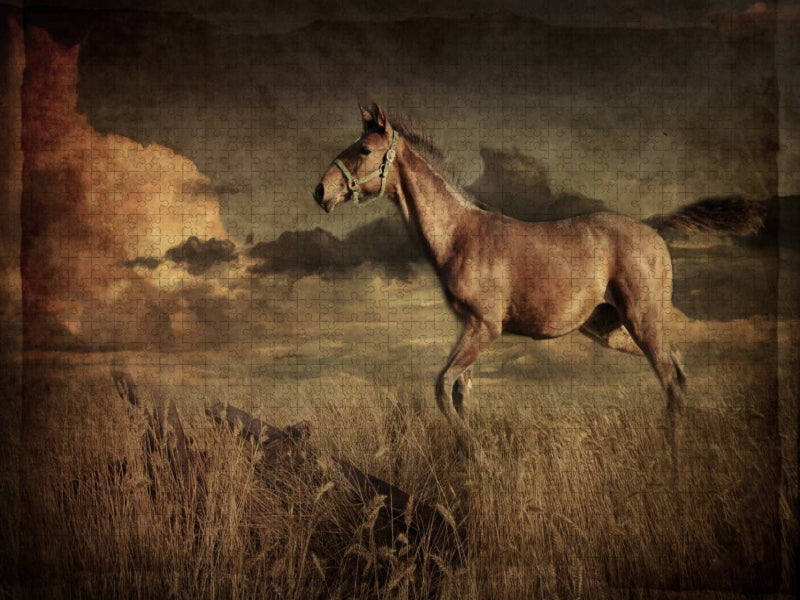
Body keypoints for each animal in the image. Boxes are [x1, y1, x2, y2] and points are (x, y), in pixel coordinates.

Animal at [314, 103, 689, 467]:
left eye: (364, 149)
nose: (320, 192)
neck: (459, 234)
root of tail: (655, 233)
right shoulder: (469, 327)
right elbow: (461, 393)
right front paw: (469, 463)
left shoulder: (485, 327)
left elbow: (443, 386)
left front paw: (479, 455)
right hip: (609, 329)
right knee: (678, 366)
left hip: (642, 322)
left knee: (670, 380)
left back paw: (674, 461)